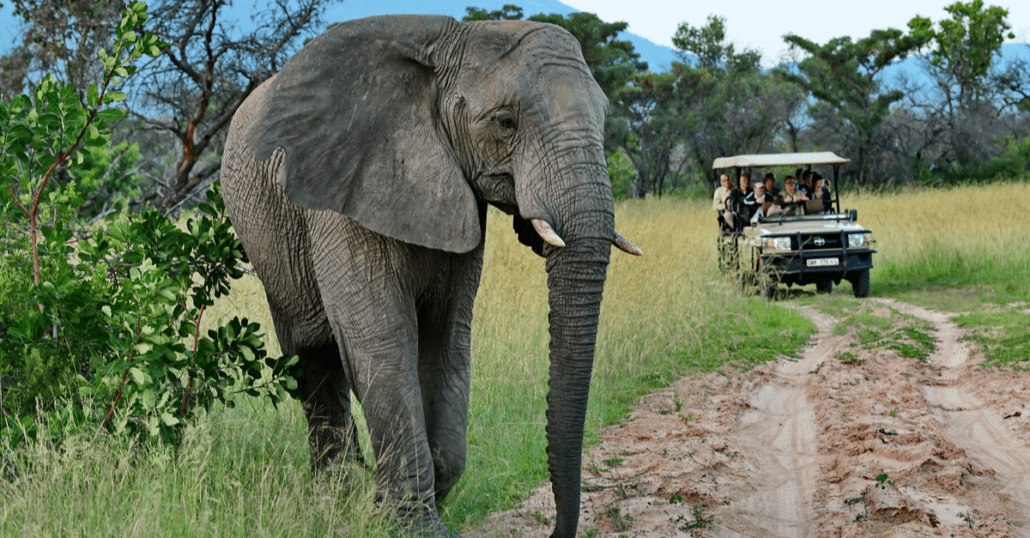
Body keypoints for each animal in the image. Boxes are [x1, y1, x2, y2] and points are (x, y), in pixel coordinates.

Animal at [220, 14, 638, 535]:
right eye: (505, 123)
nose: (556, 530)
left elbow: (446, 339)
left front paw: (413, 500)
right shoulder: (344, 194)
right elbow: (382, 342)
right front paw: (407, 524)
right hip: (268, 244)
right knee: (311, 358)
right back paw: (335, 501)